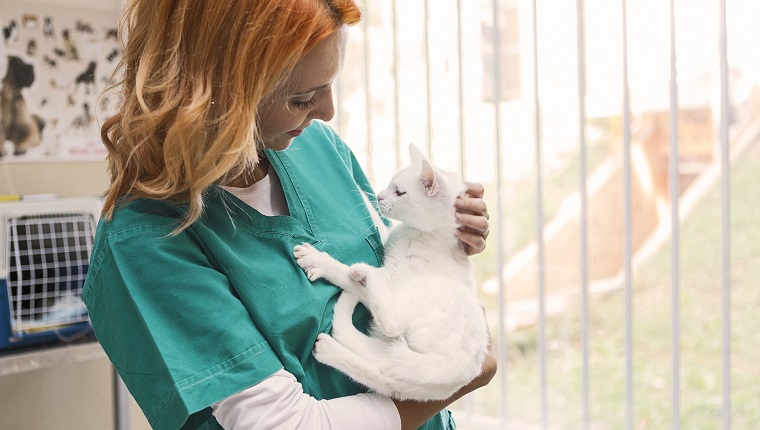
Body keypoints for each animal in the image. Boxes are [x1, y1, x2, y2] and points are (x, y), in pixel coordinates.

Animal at [294, 145, 490, 404]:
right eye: (389, 185)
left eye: (399, 192)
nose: (378, 196)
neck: (428, 233)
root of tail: (454, 370)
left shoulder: (395, 278)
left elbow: (342, 272)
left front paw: (318, 260)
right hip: (401, 382)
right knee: (382, 377)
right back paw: (331, 350)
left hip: (421, 293)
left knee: (391, 324)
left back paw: (365, 275)